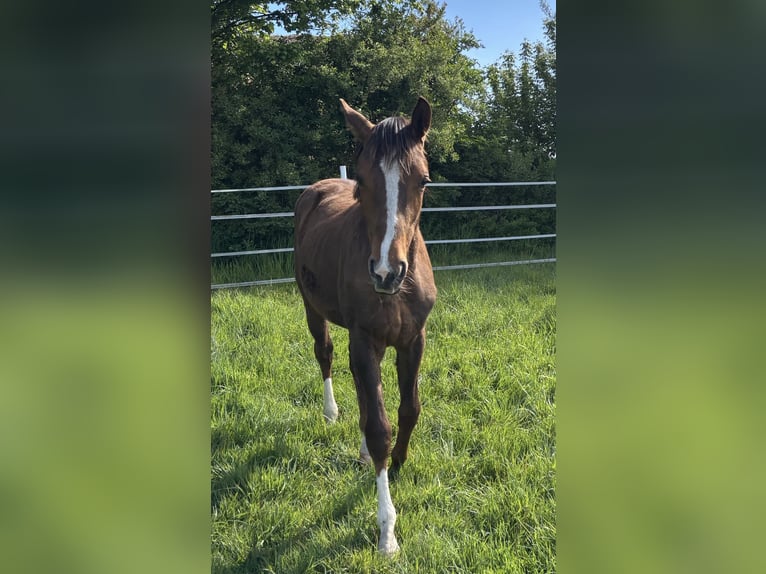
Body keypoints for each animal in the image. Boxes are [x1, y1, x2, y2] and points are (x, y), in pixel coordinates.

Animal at [293, 97, 437, 555]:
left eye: (423, 181)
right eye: (361, 180)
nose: (387, 273)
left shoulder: (414, 340)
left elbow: (408, 409)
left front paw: (401, 461)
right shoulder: (364, 339)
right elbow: (378, 428)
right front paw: (387, 531)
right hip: (312, 307)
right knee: (325, 355)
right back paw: (331, 412)